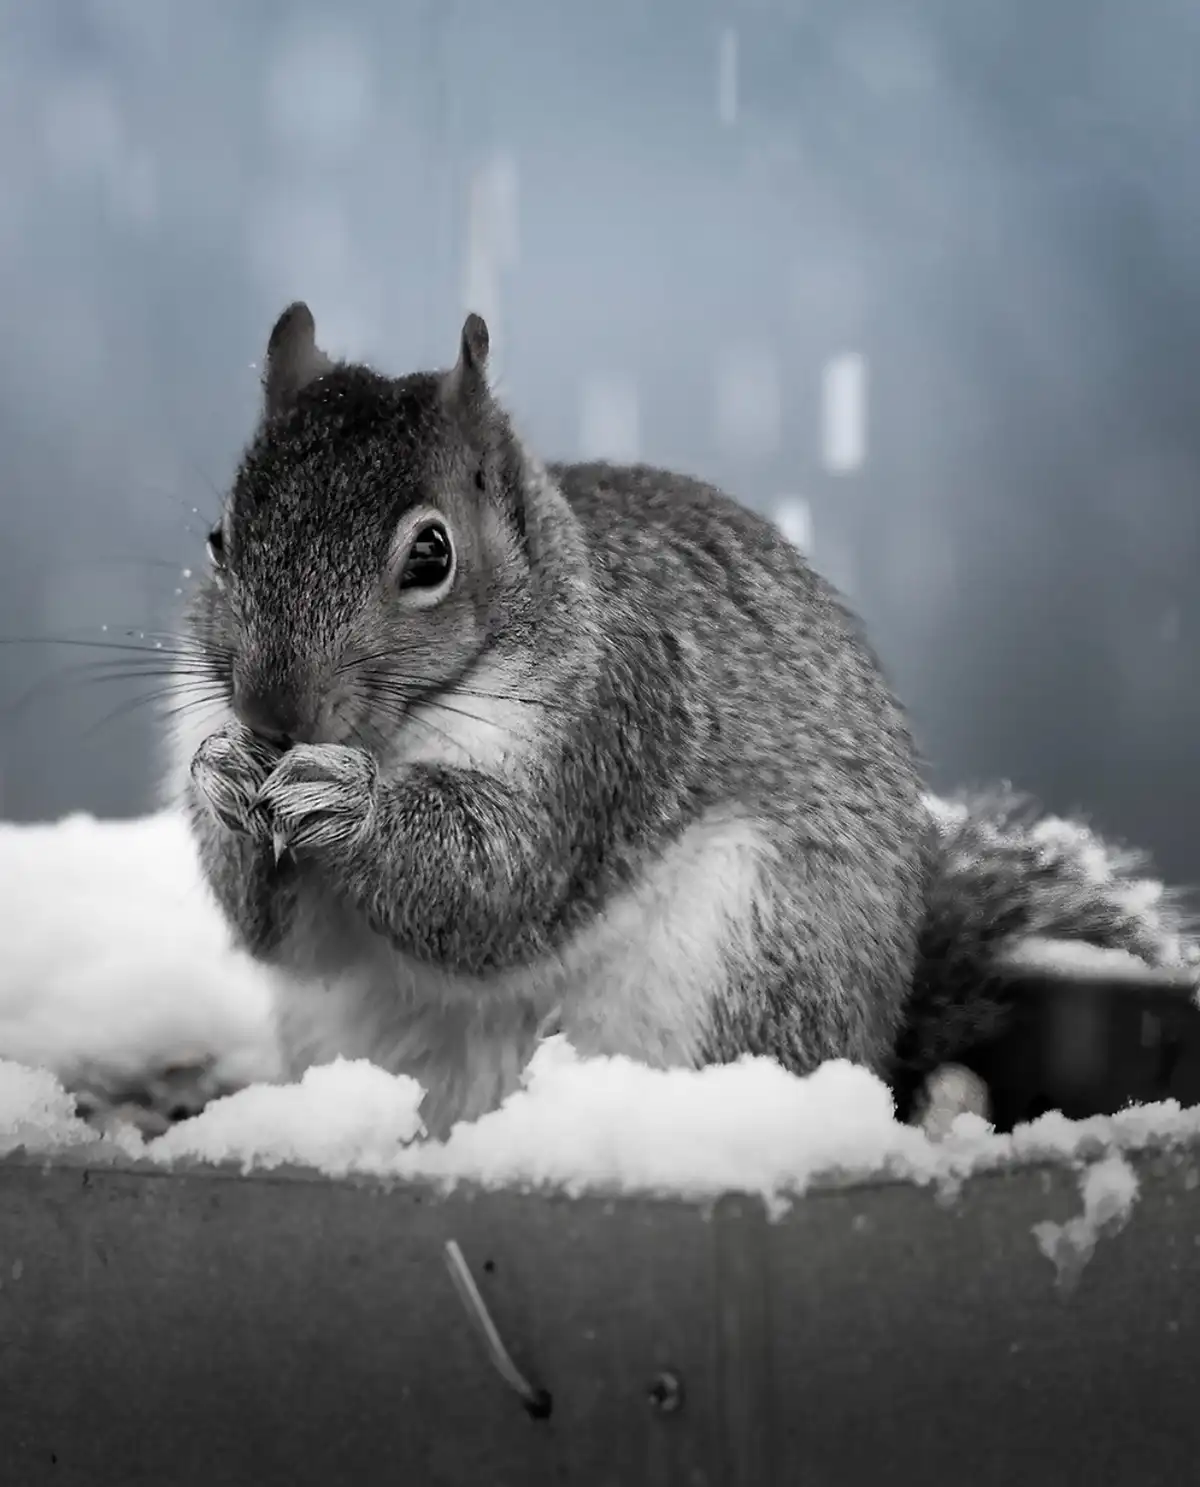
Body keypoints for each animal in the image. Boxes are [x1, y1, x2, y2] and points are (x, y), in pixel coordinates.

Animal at [168, 302, 1198, 1139]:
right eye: (219, 540)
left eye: (432, 555)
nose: (270, 711)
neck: (403, 727)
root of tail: (878, 1046)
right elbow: (282, 938)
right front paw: (224, 777)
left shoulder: (616, 724)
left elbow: (500, 882)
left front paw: (349, 798)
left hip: (754, 959)